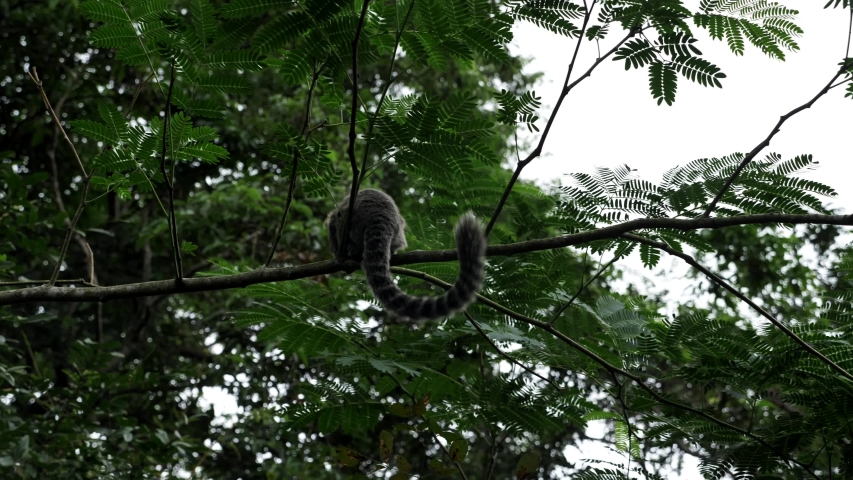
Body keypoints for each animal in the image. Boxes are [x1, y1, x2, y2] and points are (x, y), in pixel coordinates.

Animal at [326, 189, 486, 320]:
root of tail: (381, 215)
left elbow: (334, 222)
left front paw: (339, 255)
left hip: (354, 222)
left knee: (342, 221)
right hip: (398, 232)